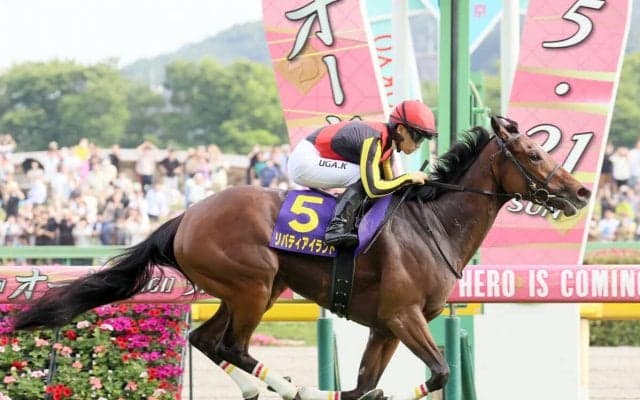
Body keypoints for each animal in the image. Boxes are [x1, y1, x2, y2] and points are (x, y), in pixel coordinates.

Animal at [13, 116, 590, 400]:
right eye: (534, 153)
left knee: (208, 340)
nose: (582, 192)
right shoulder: (403, 316)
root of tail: (187, 216)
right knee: (234, 345)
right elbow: (441, 372)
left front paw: (360, 394)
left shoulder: (385, 325)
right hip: (252, 283)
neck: (433, 226)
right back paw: (298, 388)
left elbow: (366, 382)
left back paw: (262, 388)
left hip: (254, 290)